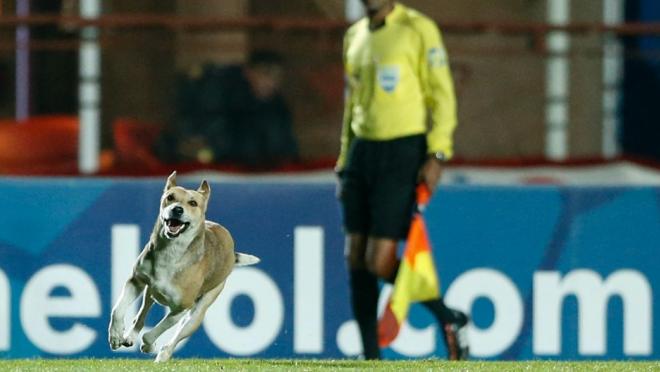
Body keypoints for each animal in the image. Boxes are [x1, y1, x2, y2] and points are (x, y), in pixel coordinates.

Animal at [107, 173, 258, 362]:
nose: (177, 209)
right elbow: (118, 310)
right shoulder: (136, 281)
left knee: (177, 334)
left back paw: (163, 354)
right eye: (170, 197)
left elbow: (152, 333)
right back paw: (131, 336)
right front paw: (115, 335)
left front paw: (149, 345)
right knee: (141, 314)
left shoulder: (181, 307)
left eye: (193, 203)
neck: (171, 253)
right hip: (151, 292)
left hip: (198, 312)